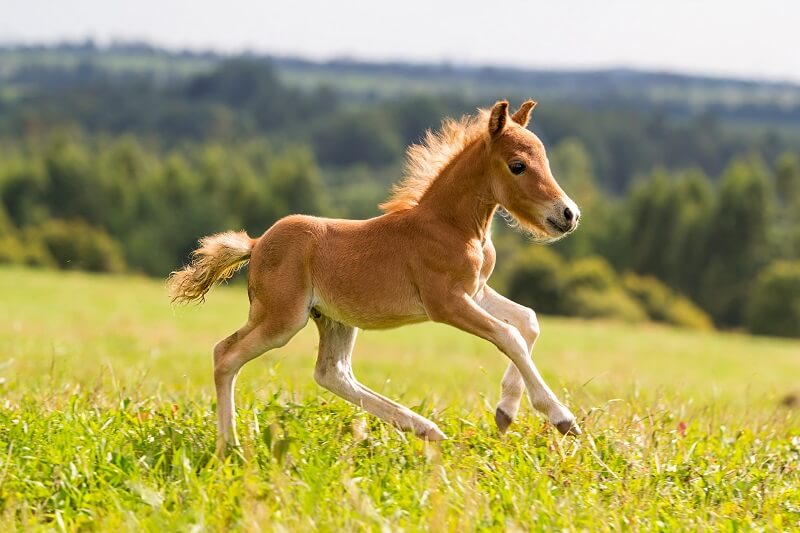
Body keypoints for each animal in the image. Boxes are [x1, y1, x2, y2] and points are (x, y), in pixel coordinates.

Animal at [169, 101, 580, 454]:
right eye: (517, 165)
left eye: (545, 160)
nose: (568, 214)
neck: (452, 225)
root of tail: (255, 245)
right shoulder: (445, 302)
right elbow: (509, 336)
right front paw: (562, 418)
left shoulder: (475, 290)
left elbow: (528, 321)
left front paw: (505, 411)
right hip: (282, 318)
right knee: (226, 355)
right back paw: (230, 447)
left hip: (331, 319)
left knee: (330, 373)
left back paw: (425, 428)